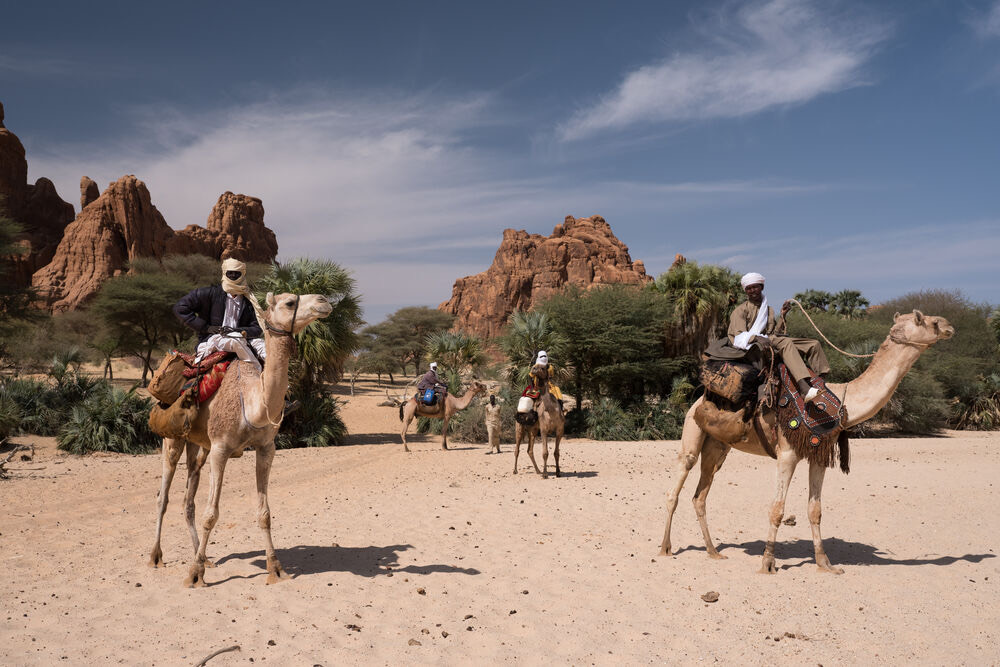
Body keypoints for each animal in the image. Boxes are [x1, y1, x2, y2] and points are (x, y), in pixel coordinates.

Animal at [148, 292, 333, 587]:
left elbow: (264, 513)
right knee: (162, 496)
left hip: (198, 445)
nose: (323, 301)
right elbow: (211, 514)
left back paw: (204, 557)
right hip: (173, 439)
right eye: (289, 303)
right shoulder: (220, 449)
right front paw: (194, 575)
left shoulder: (266, 448)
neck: (252, 400)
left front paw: (275, 569)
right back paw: (156, 557)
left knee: (188, 499)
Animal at [659, 310, 954, 574]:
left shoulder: (818, 455)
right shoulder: (787, 453)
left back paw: (713, 551)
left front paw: (825, 564)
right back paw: (665, 548)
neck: (842, 400)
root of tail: (698, 399)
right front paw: (768, 563)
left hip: (719, 446)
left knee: (700, 495)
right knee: (677, 485)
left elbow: (815, 510)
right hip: (692, 429)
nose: (949, 326)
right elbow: (777, 509)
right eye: (927, 320)